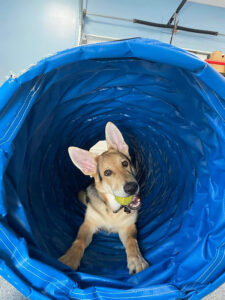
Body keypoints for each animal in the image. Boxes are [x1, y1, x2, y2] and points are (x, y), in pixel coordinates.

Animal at [59, 122, 149, 274]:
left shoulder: (128, 226)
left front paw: (137, 260)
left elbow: (132, 241)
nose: (132, 187)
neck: (112, 210)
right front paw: (69, 259)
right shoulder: (88, 223)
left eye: (125, 163)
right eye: (107, 173)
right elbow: (79, 241)